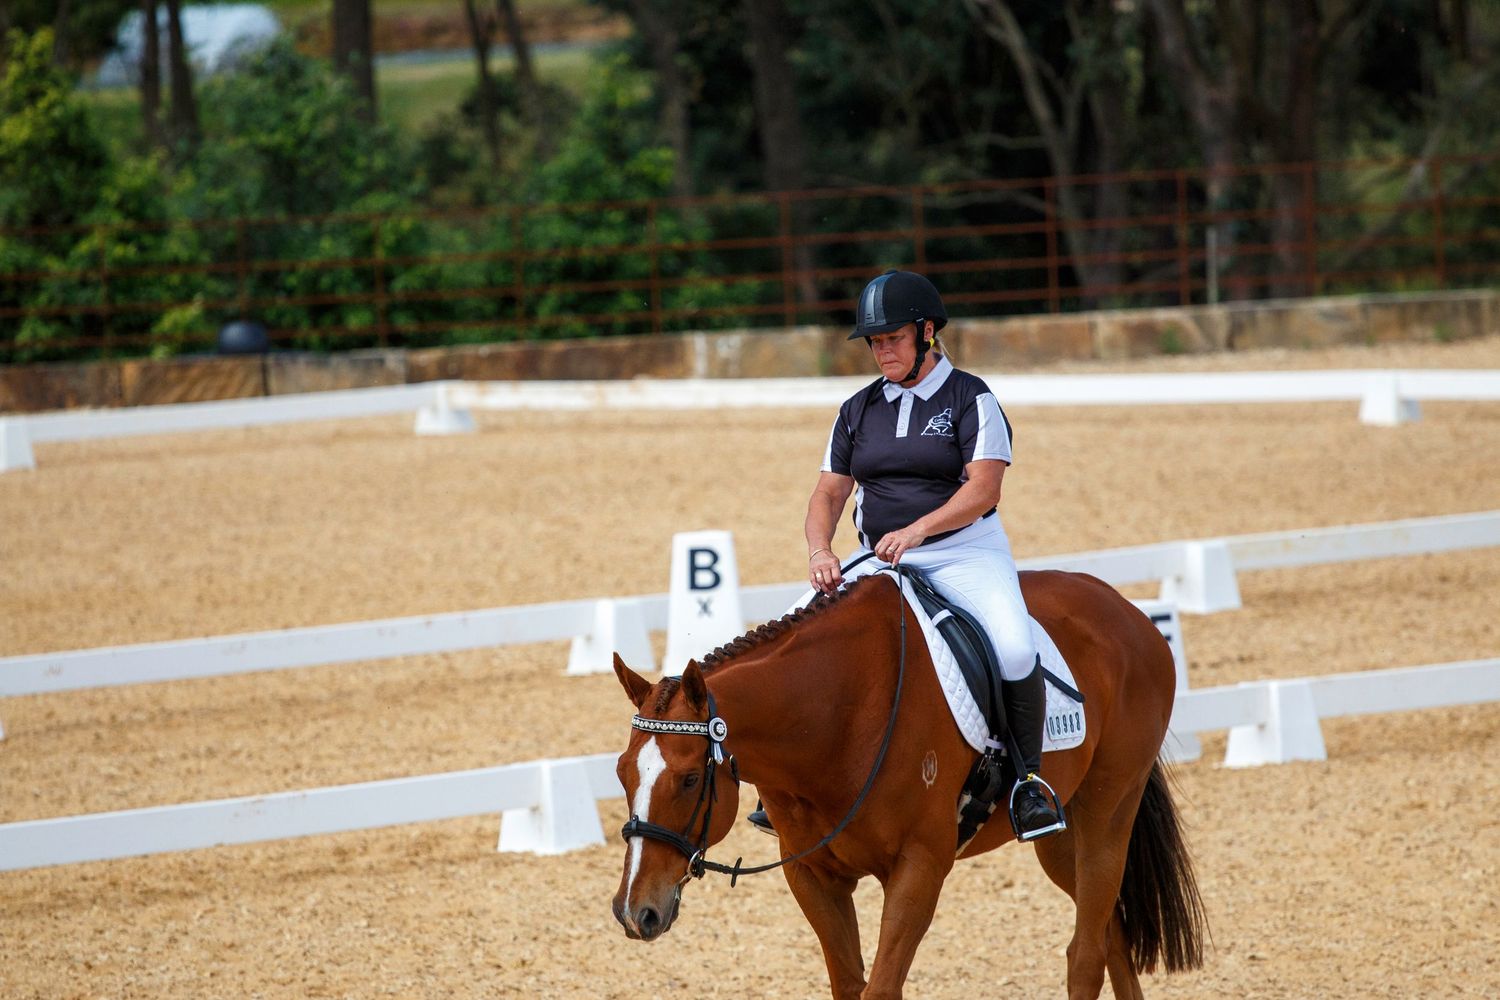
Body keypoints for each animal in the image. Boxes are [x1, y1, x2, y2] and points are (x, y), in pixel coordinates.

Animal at [610, 569, 1206, 999]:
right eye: (620, 772)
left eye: (690, 779)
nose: (635, 913)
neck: (833, 714)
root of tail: (1126, 611)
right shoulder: (812, 874)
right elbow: (850, 985)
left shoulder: (920, 866)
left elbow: (880, 988)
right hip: (1063, 836)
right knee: (1111, 935)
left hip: (1109, 812)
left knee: (1086, 956)